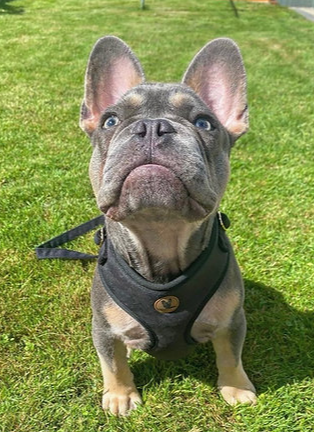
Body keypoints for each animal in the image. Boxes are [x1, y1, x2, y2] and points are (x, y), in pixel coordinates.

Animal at [79, 36, 256, 416]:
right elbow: (112, 363)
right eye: (110, 121)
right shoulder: (103, 328)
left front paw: (236, 388)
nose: (152, 127)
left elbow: (230, 355)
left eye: (204, 123)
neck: (160, 235)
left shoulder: (233, 319)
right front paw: (120, 395)